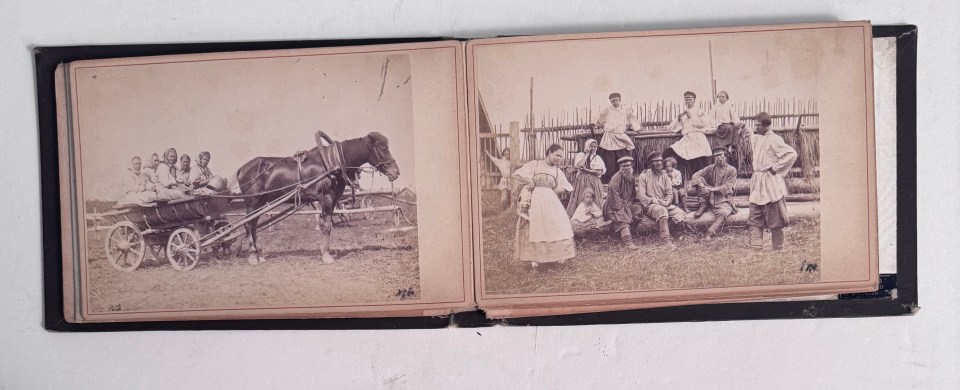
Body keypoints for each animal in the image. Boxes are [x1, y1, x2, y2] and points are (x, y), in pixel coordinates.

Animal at [238, 131, 400, 266]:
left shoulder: (333, 201)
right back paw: (252, 257)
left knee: (253, 226)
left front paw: (324, 251)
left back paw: (259, 255)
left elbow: (326, 225)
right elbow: (327, 226)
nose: (396, 172)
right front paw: (327, 256)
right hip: (252, 203)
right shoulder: (326, 198)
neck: (332, 164)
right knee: (248, 226)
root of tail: (241, 169)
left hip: (259, 204)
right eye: (382, 148)